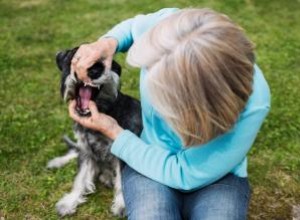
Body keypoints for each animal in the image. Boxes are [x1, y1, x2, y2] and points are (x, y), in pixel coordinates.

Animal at [47, 47, 143, 217]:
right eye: (76, 58)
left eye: (104, 64)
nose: (93, 71)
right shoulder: (85, 149)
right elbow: (79, 179)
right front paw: (69, 202)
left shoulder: (121, 153)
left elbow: (121, 181)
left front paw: (121, 205)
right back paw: (56, 162)